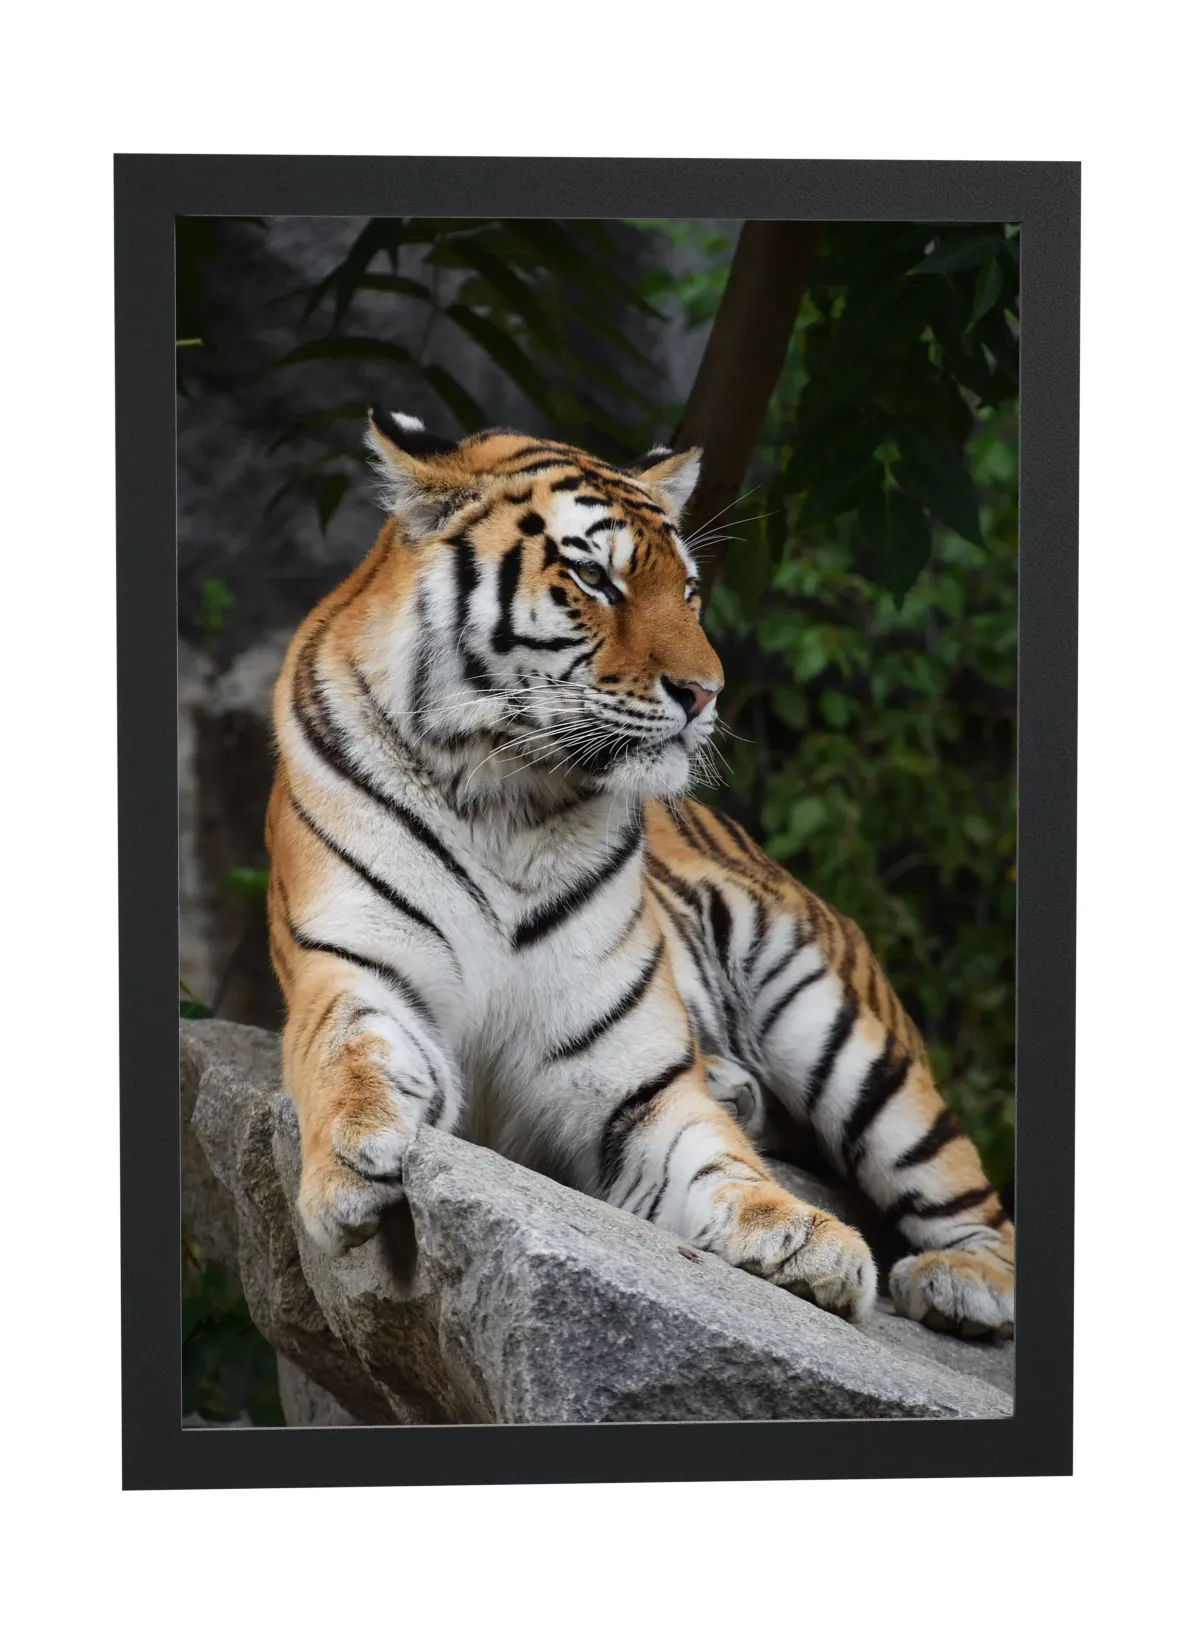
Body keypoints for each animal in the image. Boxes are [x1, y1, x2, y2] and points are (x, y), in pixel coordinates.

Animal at [264, 409, 1015, 1342]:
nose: (706, 693)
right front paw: (355, 1158)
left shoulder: (631, 1081)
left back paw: (963, 1281)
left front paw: (807, 1239)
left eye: (688, 592)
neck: (503, 796)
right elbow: (351, 1056)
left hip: (845, 1029)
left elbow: (716, 1161)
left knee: (969, 1195)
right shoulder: (355, 969)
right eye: (594, 577)